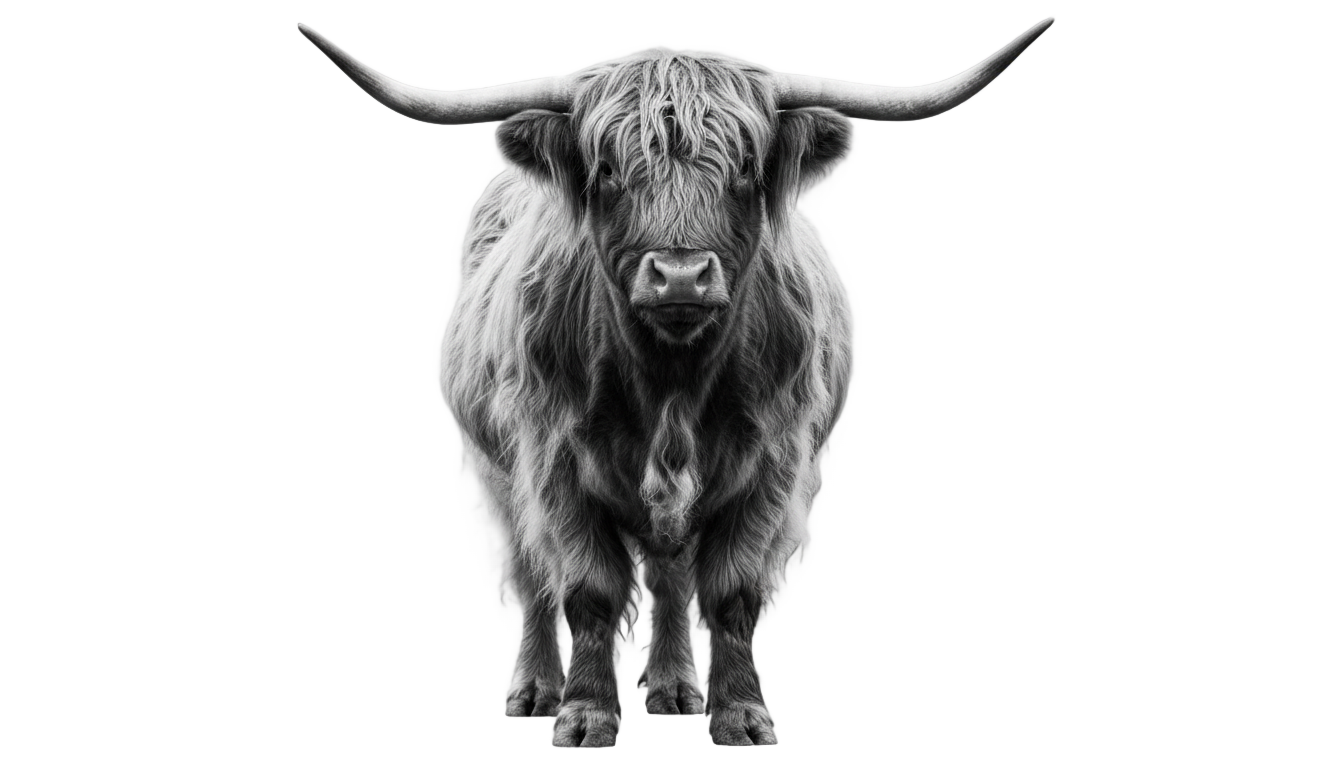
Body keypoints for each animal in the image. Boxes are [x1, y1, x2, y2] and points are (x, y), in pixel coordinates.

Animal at [296, 13, 1056, 747]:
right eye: (606, 168)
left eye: (746, 165)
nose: (682, 275)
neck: (672, 380)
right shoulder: (553, 461)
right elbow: (587, 588)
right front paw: (586, 716)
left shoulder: (772, 464)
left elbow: (731, 592)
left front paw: (739, 716)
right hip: (498, 470)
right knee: (533, 575)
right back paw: (537, 690)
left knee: (664, 576)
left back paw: (671, 686)